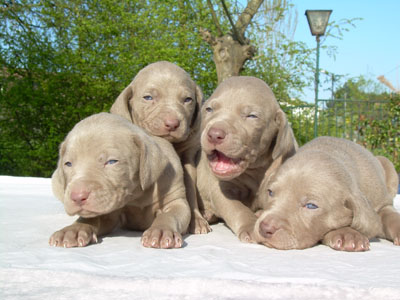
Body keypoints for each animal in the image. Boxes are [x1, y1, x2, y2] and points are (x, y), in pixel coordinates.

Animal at [49, 112, 190, 248]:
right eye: (68, 164)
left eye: (112, 161)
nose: (77, 197)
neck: (137, 195)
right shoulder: (109, 215)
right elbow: (92, 218)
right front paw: (74, 229)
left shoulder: (176, 200)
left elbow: (169, 214)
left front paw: (161, 231)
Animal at [109, 61, 209, 234]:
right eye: (148, 97)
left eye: (188, 99)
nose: (172, 123)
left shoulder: (188, 158)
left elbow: (190, 190)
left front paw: (196, 219)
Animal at [197, 76, 296, 243]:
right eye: (209, 109)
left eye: (252, 116)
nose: (214, 134)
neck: (256, 170)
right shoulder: (221, 190)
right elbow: (238, 209)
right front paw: (251, 226)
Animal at [255, 136, 398, 251]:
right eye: (270, 192)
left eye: (311, 206)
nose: (265, 228)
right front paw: (347, 234)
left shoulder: (383, 203)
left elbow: (391, 217)